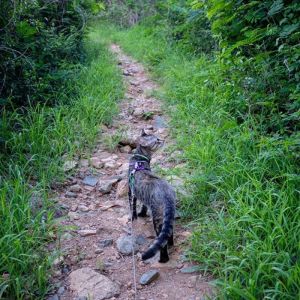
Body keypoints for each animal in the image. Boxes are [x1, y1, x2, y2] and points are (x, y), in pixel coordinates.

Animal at [127, 130, 176, 262]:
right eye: (157, 140)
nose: (163, 140)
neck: (139, 160)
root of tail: (167, 193)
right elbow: (143, 206)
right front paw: (142, 214)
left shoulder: (131, 191)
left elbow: (132, 206)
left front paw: (134, 217)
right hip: (168, 216)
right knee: (169, 232)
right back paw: (171, 244)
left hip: (157, 217)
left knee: (162, 241)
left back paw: (163, 259)